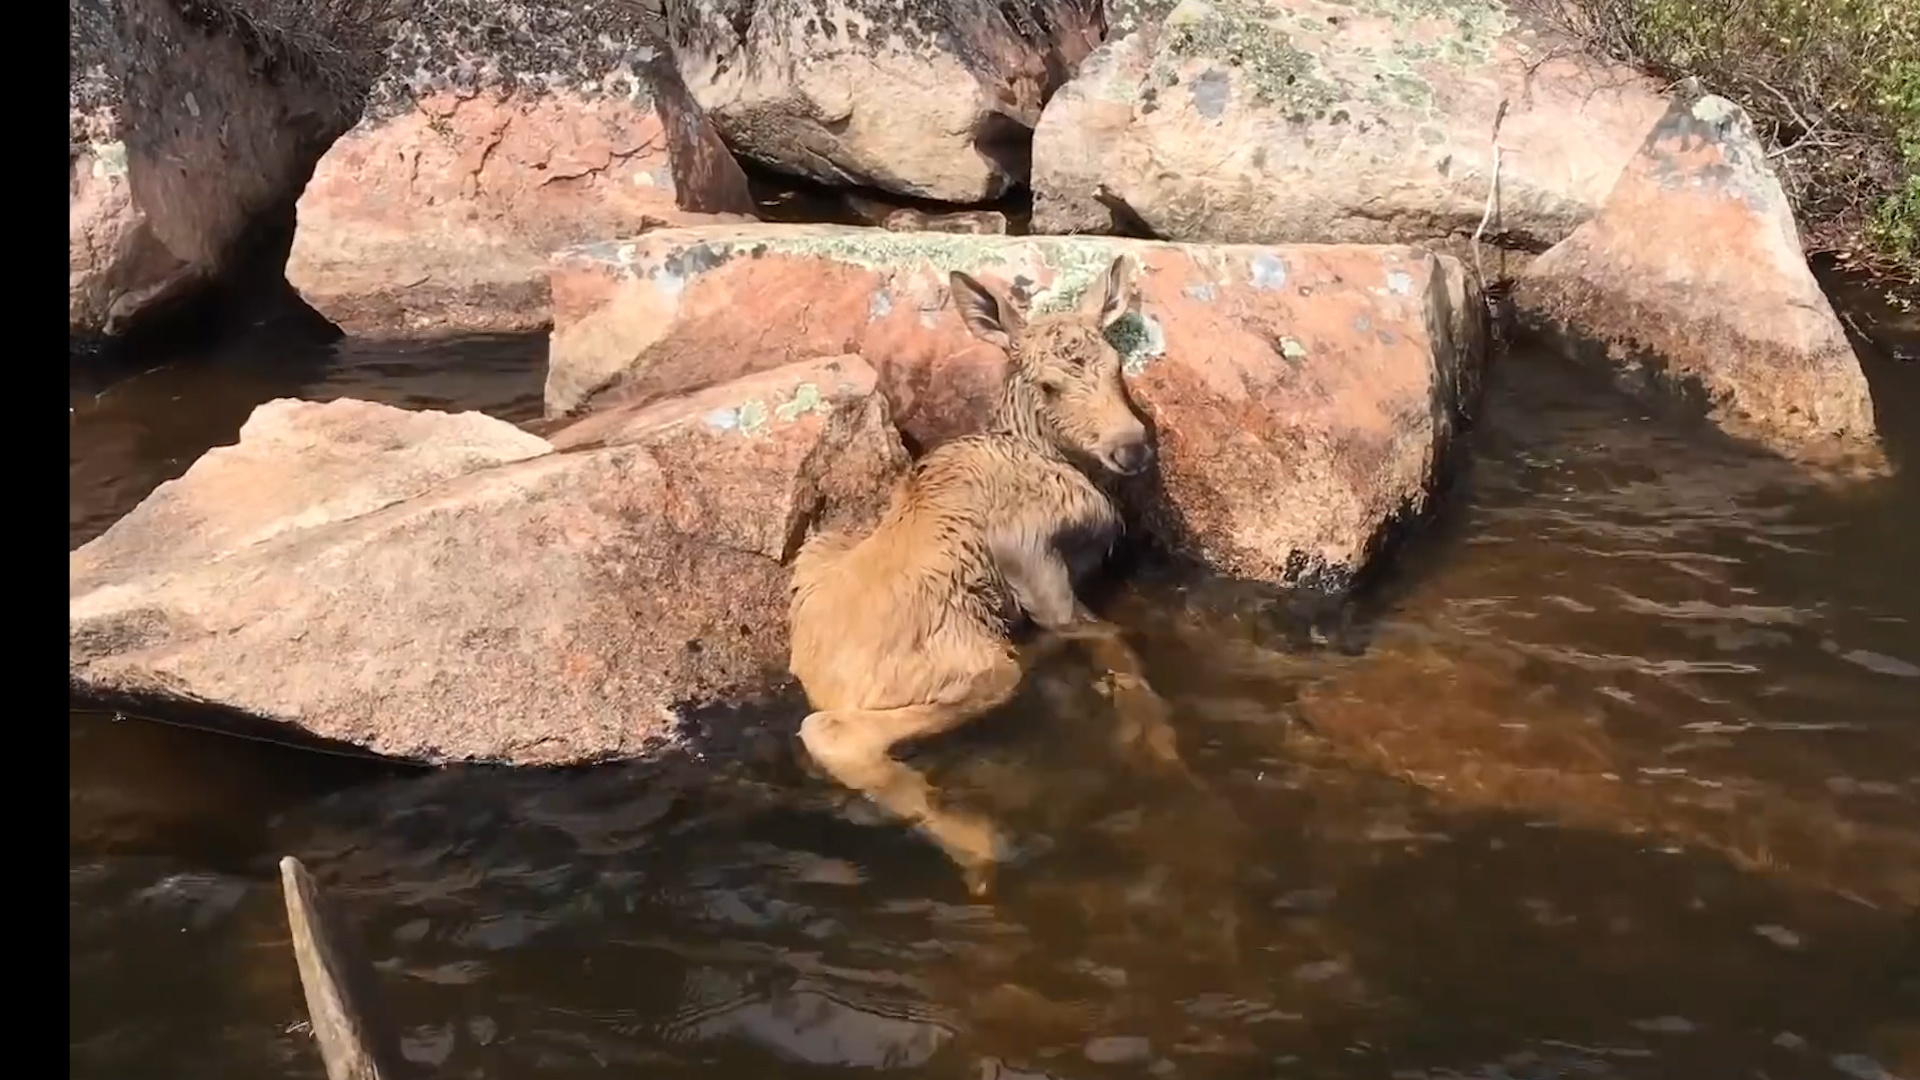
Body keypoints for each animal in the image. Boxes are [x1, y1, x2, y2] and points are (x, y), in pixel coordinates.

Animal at [786, 253, 1184, 895]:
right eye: (1049, 385)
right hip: (977, 664)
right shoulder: (1035, 562)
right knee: (833, 733)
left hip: (821, 549)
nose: (1132, 447)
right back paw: (984, 849)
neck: (1049, 456)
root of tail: (822, 676)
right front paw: (1158, 746)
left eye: (1116, 366)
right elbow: (1114, 644)